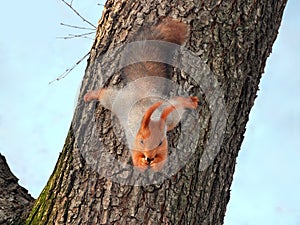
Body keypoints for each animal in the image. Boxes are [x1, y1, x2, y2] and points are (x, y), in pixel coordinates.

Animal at [84, 17, 199, 171]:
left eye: (160, 142)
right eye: (141, 141)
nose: (149, 157)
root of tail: (143, 90)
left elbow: (164, 155)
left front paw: (158, 163)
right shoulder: (132, 137)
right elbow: (134, 154)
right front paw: (141, 162)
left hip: (169, 115)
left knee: (177, 106)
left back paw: (189, 102)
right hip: (119, 101)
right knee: (106, 95)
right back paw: (93, 94)